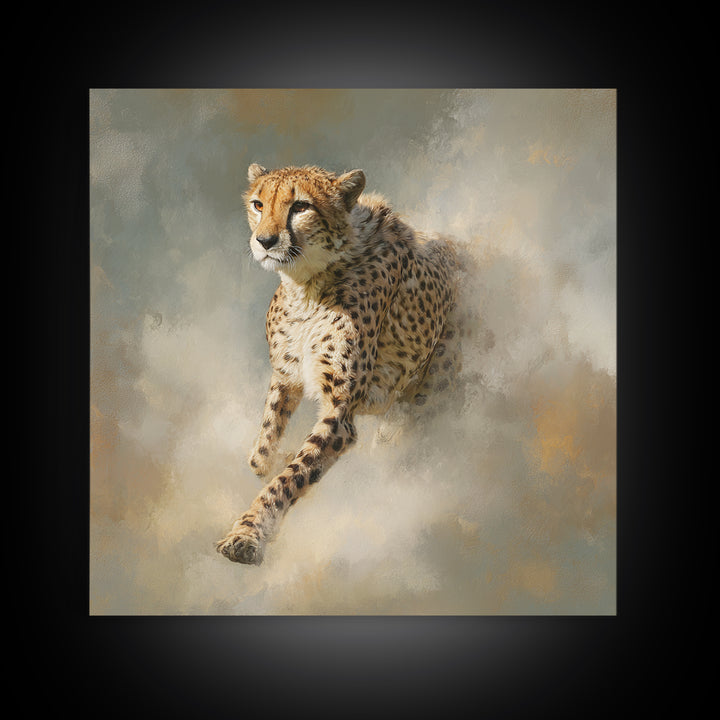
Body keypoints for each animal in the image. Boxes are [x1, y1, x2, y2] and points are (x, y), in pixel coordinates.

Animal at [216, 163, 464, 565]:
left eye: (300, 206)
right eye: (258, 204)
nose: (265, 241)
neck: (307, 287)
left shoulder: (340, 411)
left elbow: (289, 478)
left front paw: (248, 534)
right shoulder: (287, 374)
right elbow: (262, 452)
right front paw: (275, 458)